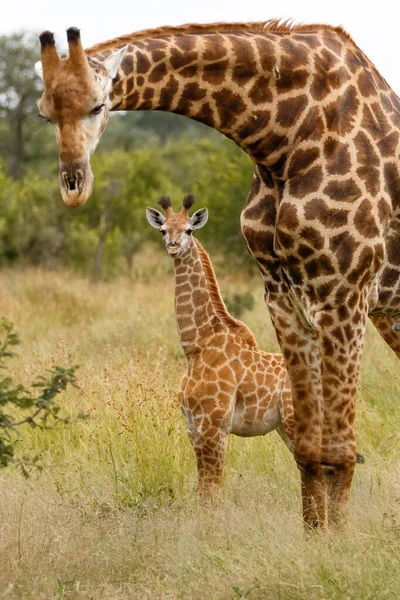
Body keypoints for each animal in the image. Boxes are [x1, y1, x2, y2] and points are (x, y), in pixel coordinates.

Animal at [148, 195, 296, 500]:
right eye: (163, 230)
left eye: (189, 230)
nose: (173, 246)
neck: (196, 345)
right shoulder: (192, 425)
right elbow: (205, 487)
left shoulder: (214, 424)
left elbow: (212, 490)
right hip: (286, 428)